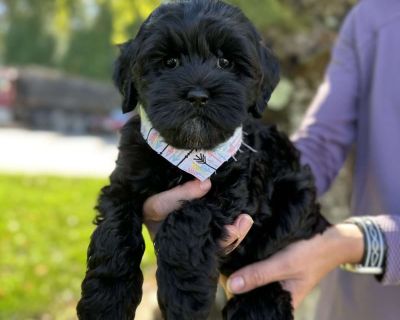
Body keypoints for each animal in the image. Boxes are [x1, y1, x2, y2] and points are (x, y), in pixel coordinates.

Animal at [76, 1, 330, 318]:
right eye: (170, 62)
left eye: (225, 62)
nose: (197, 95)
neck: (188, 153)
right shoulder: (124, 182)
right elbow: (114, 232)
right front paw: (106, 300)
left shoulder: (234, 190)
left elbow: (188, 221)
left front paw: (184, 298)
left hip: (295, 200)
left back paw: (258, 306)